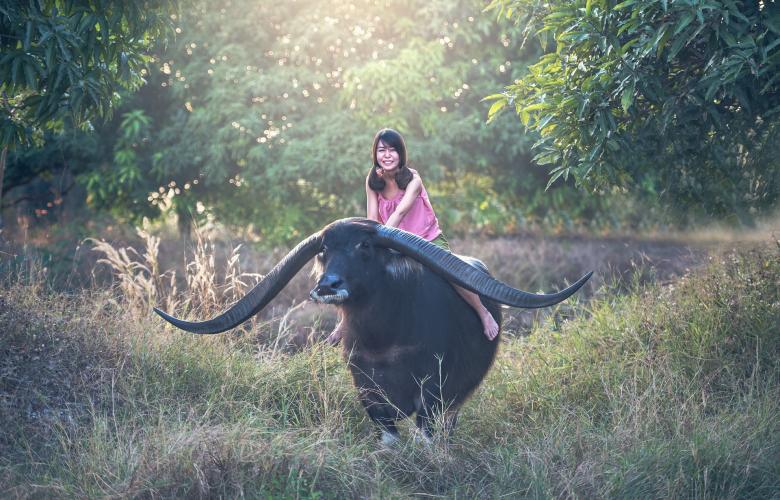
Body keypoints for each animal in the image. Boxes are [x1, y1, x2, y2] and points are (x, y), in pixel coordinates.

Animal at [155, 218, 591, 443]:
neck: (385, 338)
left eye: (364, 247)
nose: (328, 285)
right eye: (324, 250)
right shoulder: (366, 388)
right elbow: (387, 434)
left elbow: (426, 432)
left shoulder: (432, 393)